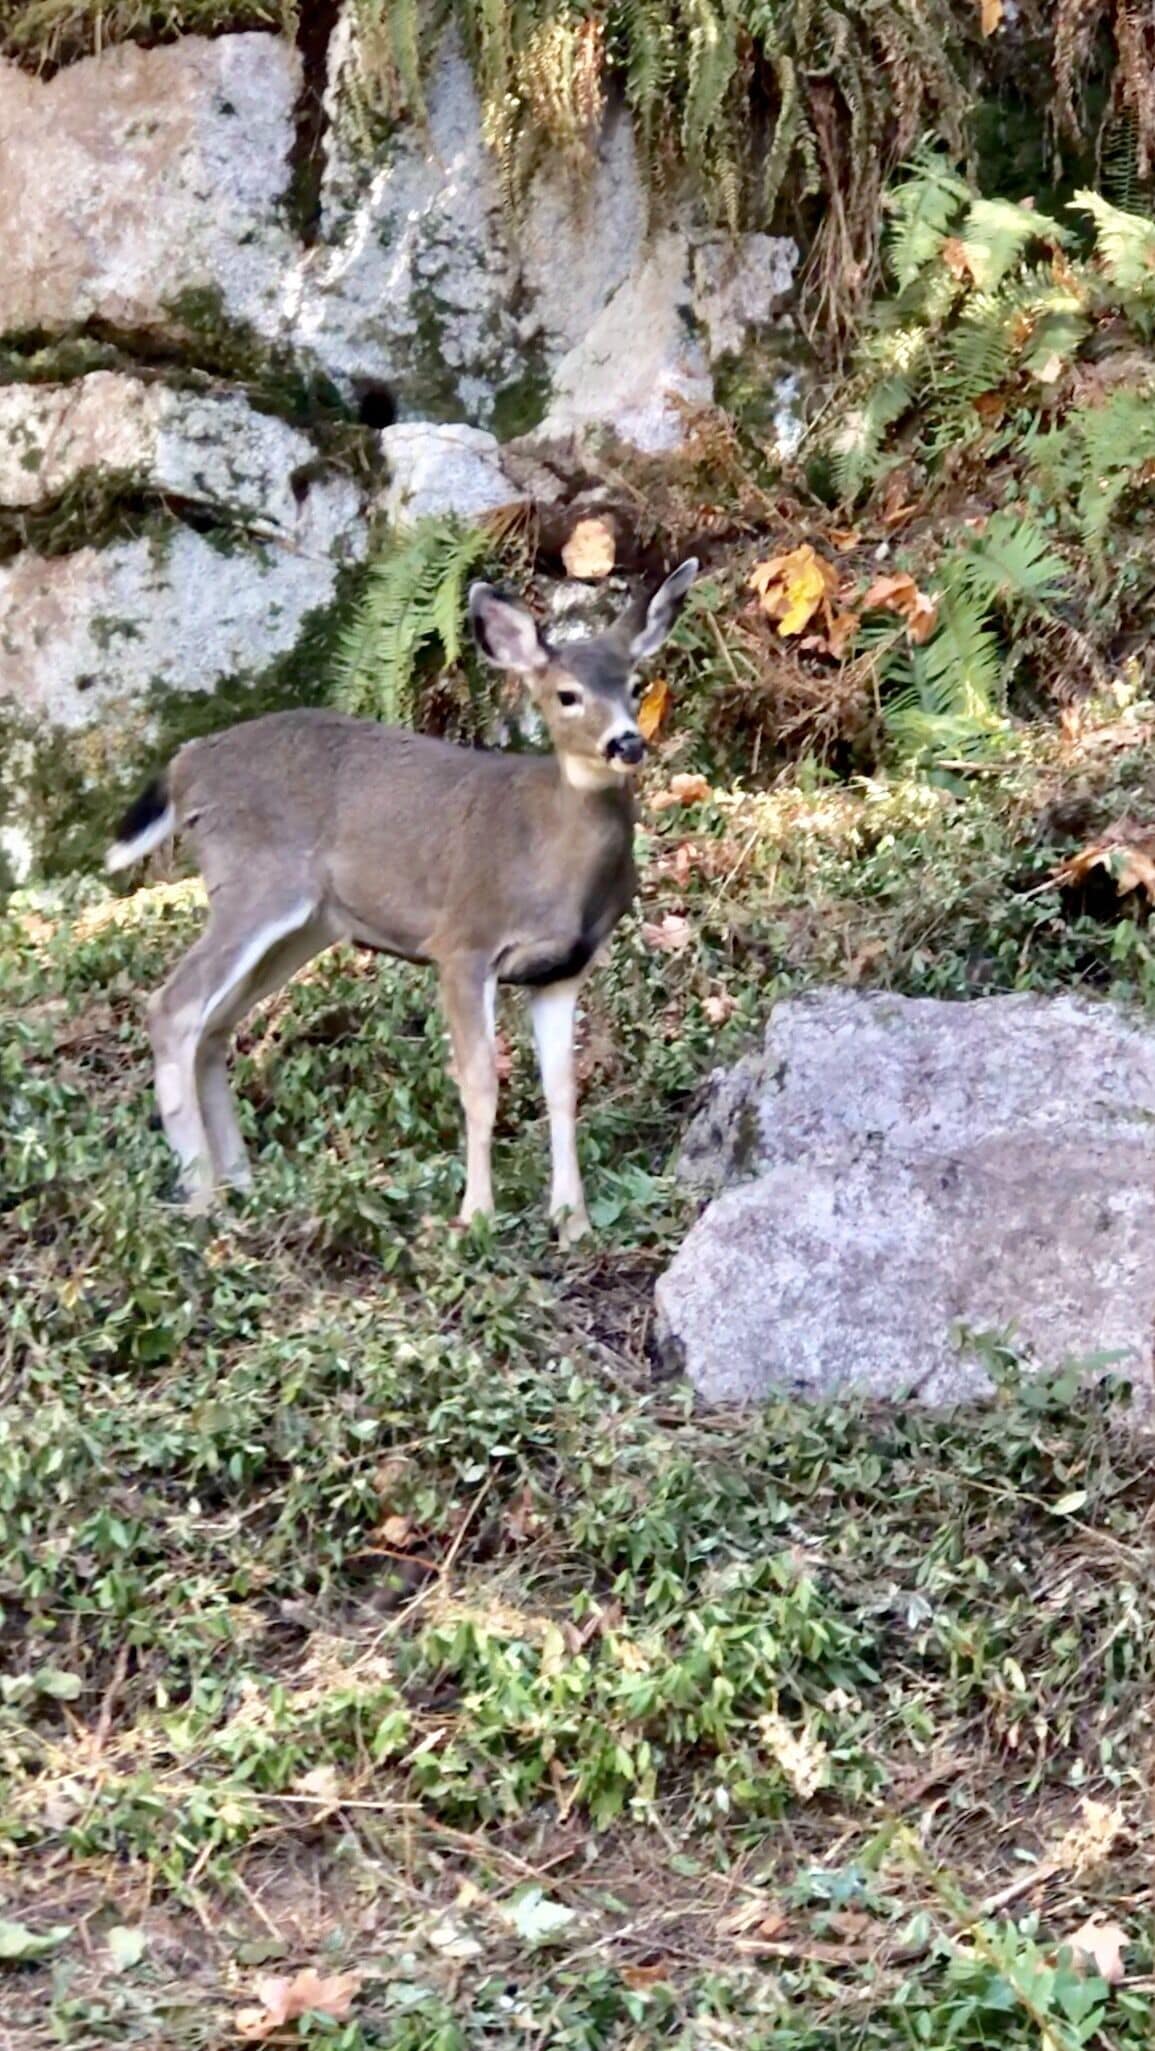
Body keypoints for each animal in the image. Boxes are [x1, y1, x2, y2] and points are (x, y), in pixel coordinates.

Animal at [105, 559, 698, 1246]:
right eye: (566, 695)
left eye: (635, 684)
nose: (626, 743)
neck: (550, 856)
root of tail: (184, 766)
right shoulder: (464, 942)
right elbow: (479, 1083)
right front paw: (477, 1217)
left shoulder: (562, 969)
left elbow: (562, 1088)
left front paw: (571, 1222)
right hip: (254, 882)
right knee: (173, 1007)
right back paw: (203, 1199)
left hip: (306, 924)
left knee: (214, 1025)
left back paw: (241, 1183)